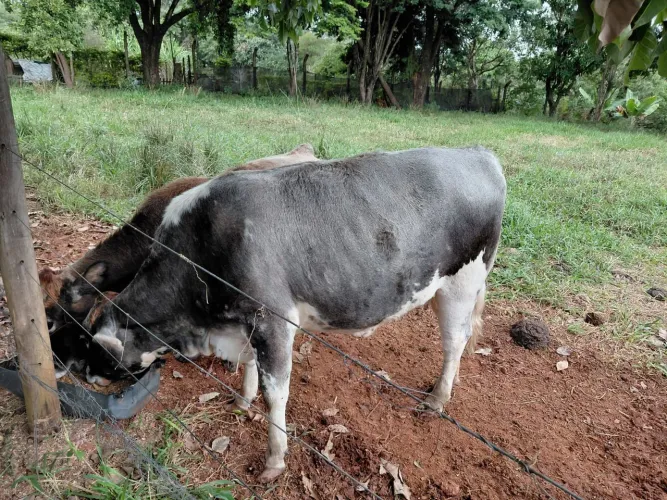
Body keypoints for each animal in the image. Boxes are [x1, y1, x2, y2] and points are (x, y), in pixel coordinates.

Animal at [82, 146, 506, 482]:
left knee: (454, 343)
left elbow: (276, 394)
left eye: (99, 353)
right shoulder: (246, 321)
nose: (86, 376)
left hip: (463, 282)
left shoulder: (273, 319)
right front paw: (242, 400)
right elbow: (250, 367)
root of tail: (477, 152)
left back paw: (438, 397)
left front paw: (274, 458)